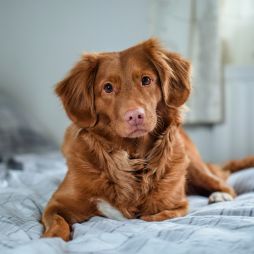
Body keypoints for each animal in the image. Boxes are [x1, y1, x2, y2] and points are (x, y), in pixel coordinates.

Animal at [42, 39, 254, 240]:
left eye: (146, 80)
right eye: (108, 88)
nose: (135, 115)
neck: (132, 156)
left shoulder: (177, 204)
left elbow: (154, 216)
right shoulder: (56, 203)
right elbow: (57, 222)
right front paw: (50, 240)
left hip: (194, 165)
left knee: (225, 184)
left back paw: (219, 196)